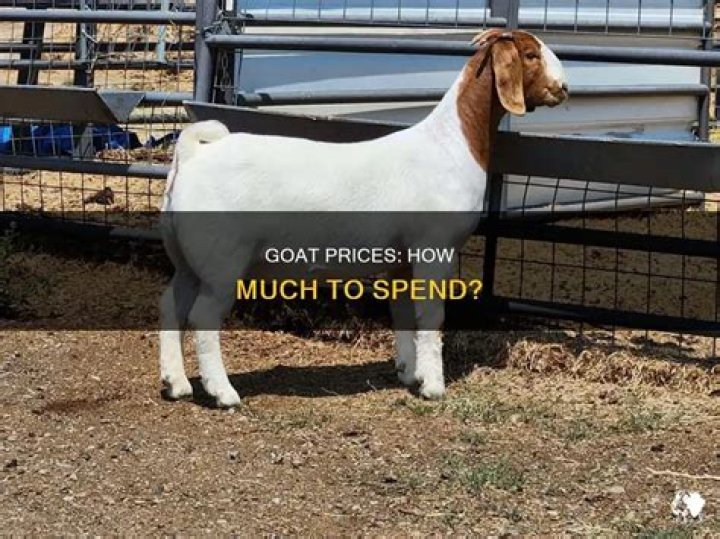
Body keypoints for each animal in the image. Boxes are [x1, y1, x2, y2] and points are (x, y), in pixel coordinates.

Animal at [159, 29, 568, 408]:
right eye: (530, 54)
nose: (563, 88)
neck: (452, 143)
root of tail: (195, 155)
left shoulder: (402, 258)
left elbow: (403, 312)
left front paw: (410, 374)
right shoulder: (434, 247)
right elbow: (431, 315)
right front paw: (434, 387)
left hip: (187, 256)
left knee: (171, 305)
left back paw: (176, 384)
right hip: (222, 258)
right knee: (203, 315)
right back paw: (223, 392)